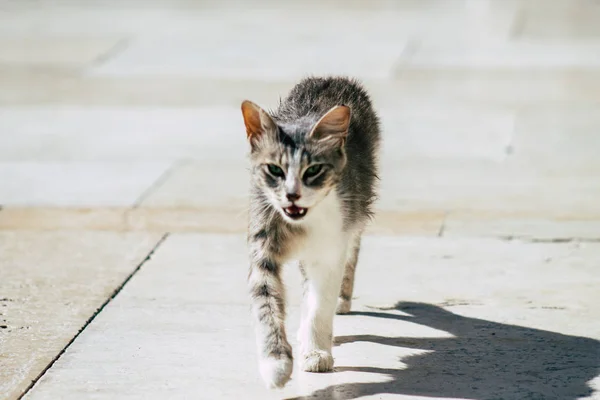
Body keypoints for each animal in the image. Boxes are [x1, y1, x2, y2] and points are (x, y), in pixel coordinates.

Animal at [240, 76, 378, 390]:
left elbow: (319, 304)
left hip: (354, 217)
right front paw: (275, 364)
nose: (292, 195)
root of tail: (331, 77)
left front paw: (315, 352)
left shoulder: (330, 248)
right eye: (275, 169)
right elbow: (266, 303)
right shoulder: (263, 246)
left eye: (313, 170)